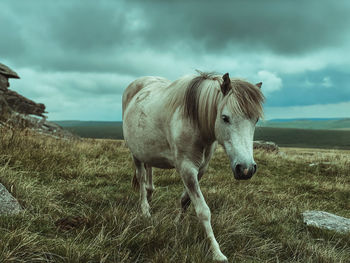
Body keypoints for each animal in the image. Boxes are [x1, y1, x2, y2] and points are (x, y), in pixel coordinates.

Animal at [121, 71, 264, 262]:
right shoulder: (187, 169)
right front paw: (216, 252)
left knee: (148, 171)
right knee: (141, 178)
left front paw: (177, 224)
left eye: (255, 120)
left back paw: (150, 196)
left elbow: (185, 200)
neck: (195, 122)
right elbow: (203, 211)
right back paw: (145, 210)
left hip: (146, 149)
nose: (246, 169)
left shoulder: (200, 169)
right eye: (225, 118)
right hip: (135, 154)